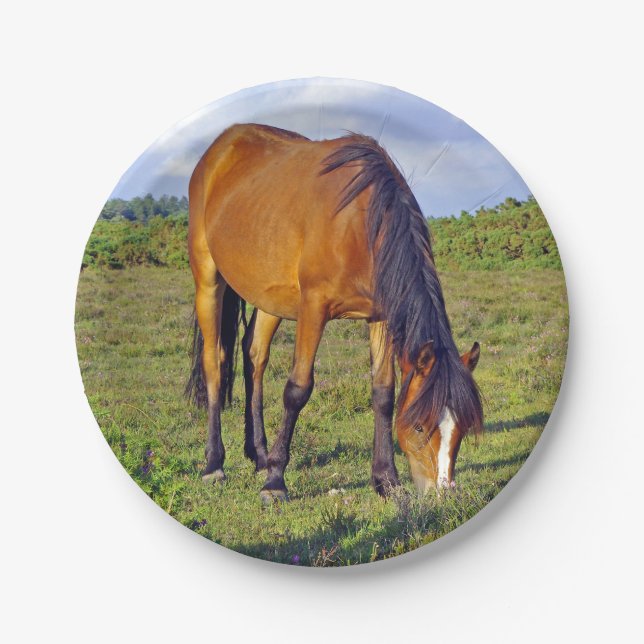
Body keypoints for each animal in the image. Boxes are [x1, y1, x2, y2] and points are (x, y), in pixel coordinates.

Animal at [185, 123, 483, 501]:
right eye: (419, 425)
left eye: (462, 428)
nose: (440, 491)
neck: (360, 222)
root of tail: (220, 146)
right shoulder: (314, 308)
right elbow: (297, 390)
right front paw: (276, 482)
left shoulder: (379, 316)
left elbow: (383, 393)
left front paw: (386, 479)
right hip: (208, 278)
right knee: (214, 362)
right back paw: (215, 463)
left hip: (271, 298)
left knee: (254, 356)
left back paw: (259, 455)